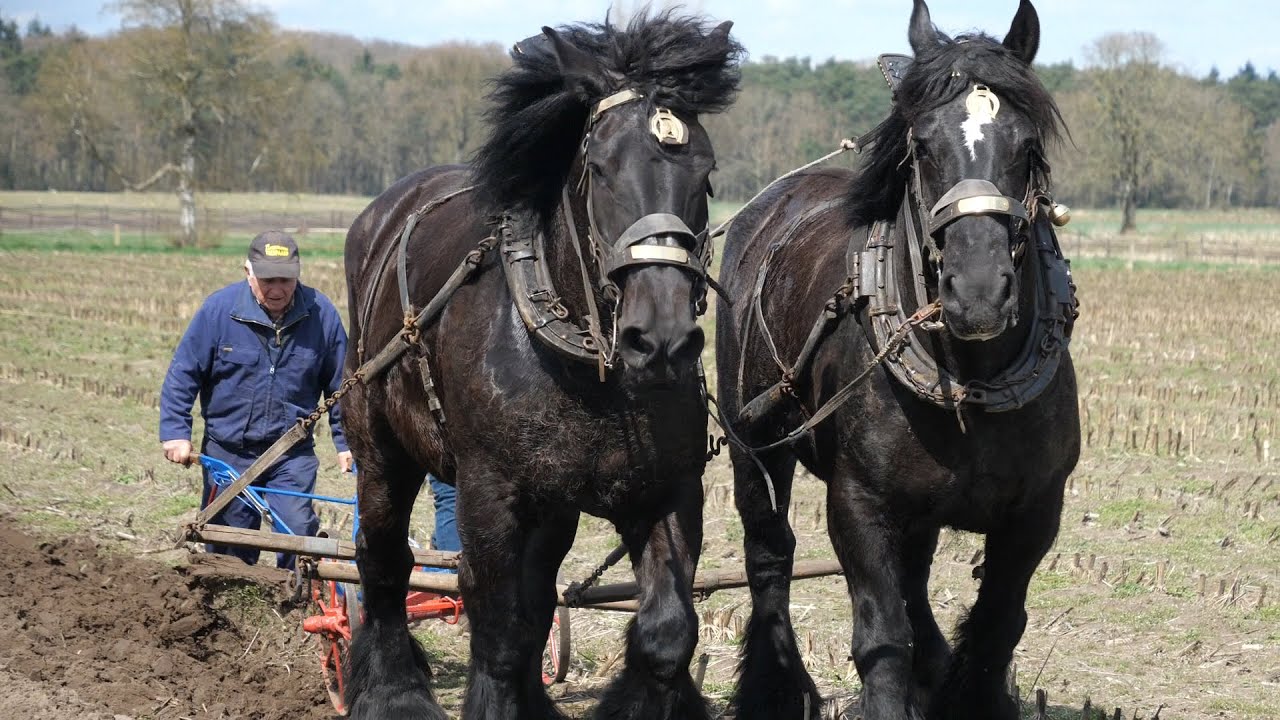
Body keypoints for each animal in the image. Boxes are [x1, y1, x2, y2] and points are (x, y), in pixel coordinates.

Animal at [339, 12, 742, 720]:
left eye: (706, 169)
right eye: (601, 168)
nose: (661, 339)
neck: (588, 371)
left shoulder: (668, 488)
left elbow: (667, 631)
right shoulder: (489, 496)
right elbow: (498, 634)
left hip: (551, 507)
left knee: (535, 595)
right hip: (380, 448)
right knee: (384, 565)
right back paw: (392, 693)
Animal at [715, 1, 1078, 718]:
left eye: (1027, 149)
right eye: (923, 147)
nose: (977, 291)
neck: (972, 382)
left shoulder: (1036, 511)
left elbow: (997, 625)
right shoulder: (860, 503)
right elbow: (881, 636)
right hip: (753, 441)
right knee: (770, 556)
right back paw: (778, 687)